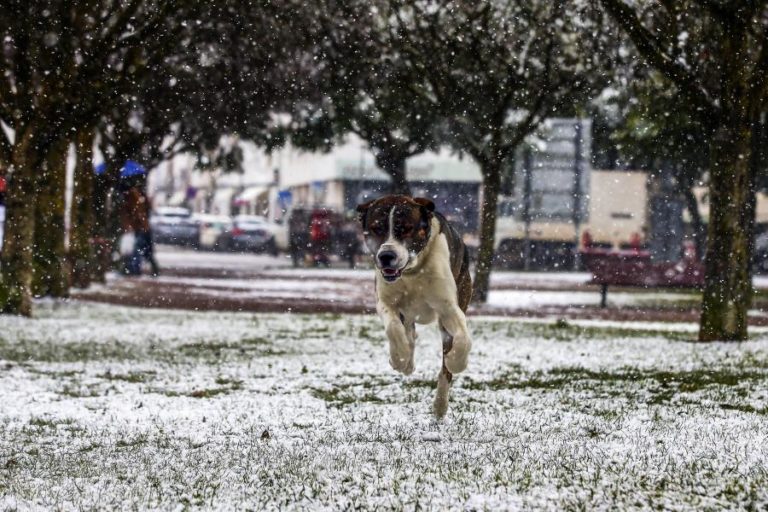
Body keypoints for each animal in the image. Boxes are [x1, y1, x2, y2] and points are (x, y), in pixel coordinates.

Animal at [356, 194, 472, 418]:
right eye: (376, 228)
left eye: (406, 228)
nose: (386, 256)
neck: (412, 271)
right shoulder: (386, 302)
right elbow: (394, 328)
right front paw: (400, 358)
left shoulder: (449, 309)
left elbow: (463, 339)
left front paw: (457, 361)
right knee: (408, 331)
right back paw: (406, 361)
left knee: (445, 367)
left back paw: (440, 405)